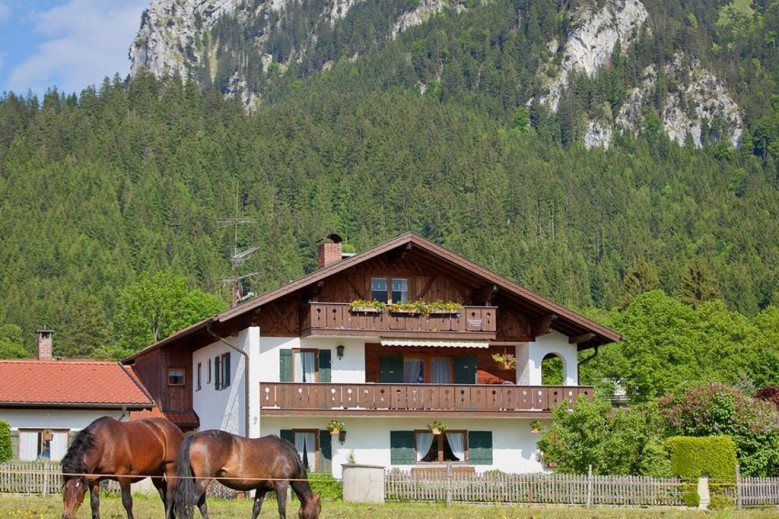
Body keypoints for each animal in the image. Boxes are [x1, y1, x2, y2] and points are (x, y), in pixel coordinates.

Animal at [176, 430, 320, 519]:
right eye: (318, 510)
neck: (287, 455)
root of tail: (195, 436)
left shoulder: (262, 488)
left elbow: (256, 509)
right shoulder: (282, 485)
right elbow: (282, 509)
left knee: (201, 505)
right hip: (203, 481)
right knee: (190, 504)